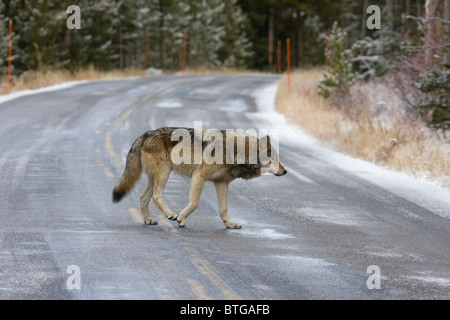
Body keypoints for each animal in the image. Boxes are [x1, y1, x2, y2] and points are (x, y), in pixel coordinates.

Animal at [113, 126, 288, 229]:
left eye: (278, 159)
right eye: (273, 159)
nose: (285, 171)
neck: (237, 152)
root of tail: (145, 134)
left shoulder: (222, 183)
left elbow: (223, 208)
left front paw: (229, 224)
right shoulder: (199, 176)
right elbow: (194, 203)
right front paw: (181, 219)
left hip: (155, 178)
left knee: (143, 198)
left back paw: (148, 220)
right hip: (164, 174)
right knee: (156, 196)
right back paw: (170, 214)